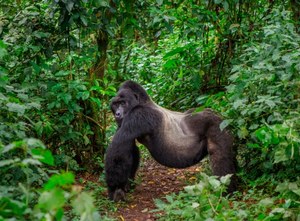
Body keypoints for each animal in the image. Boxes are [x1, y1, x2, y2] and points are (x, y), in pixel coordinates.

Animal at [105, 80, 237, 201]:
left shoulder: (138, 114)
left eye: (123, 103)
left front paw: (115, 189)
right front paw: (126, 185)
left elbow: (119, 148)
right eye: (115, 104)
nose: (117, 114)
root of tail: (220, 116)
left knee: (219, 155)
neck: (143, 101)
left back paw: (225, 191)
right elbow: (130, 150)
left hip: (217, 125)